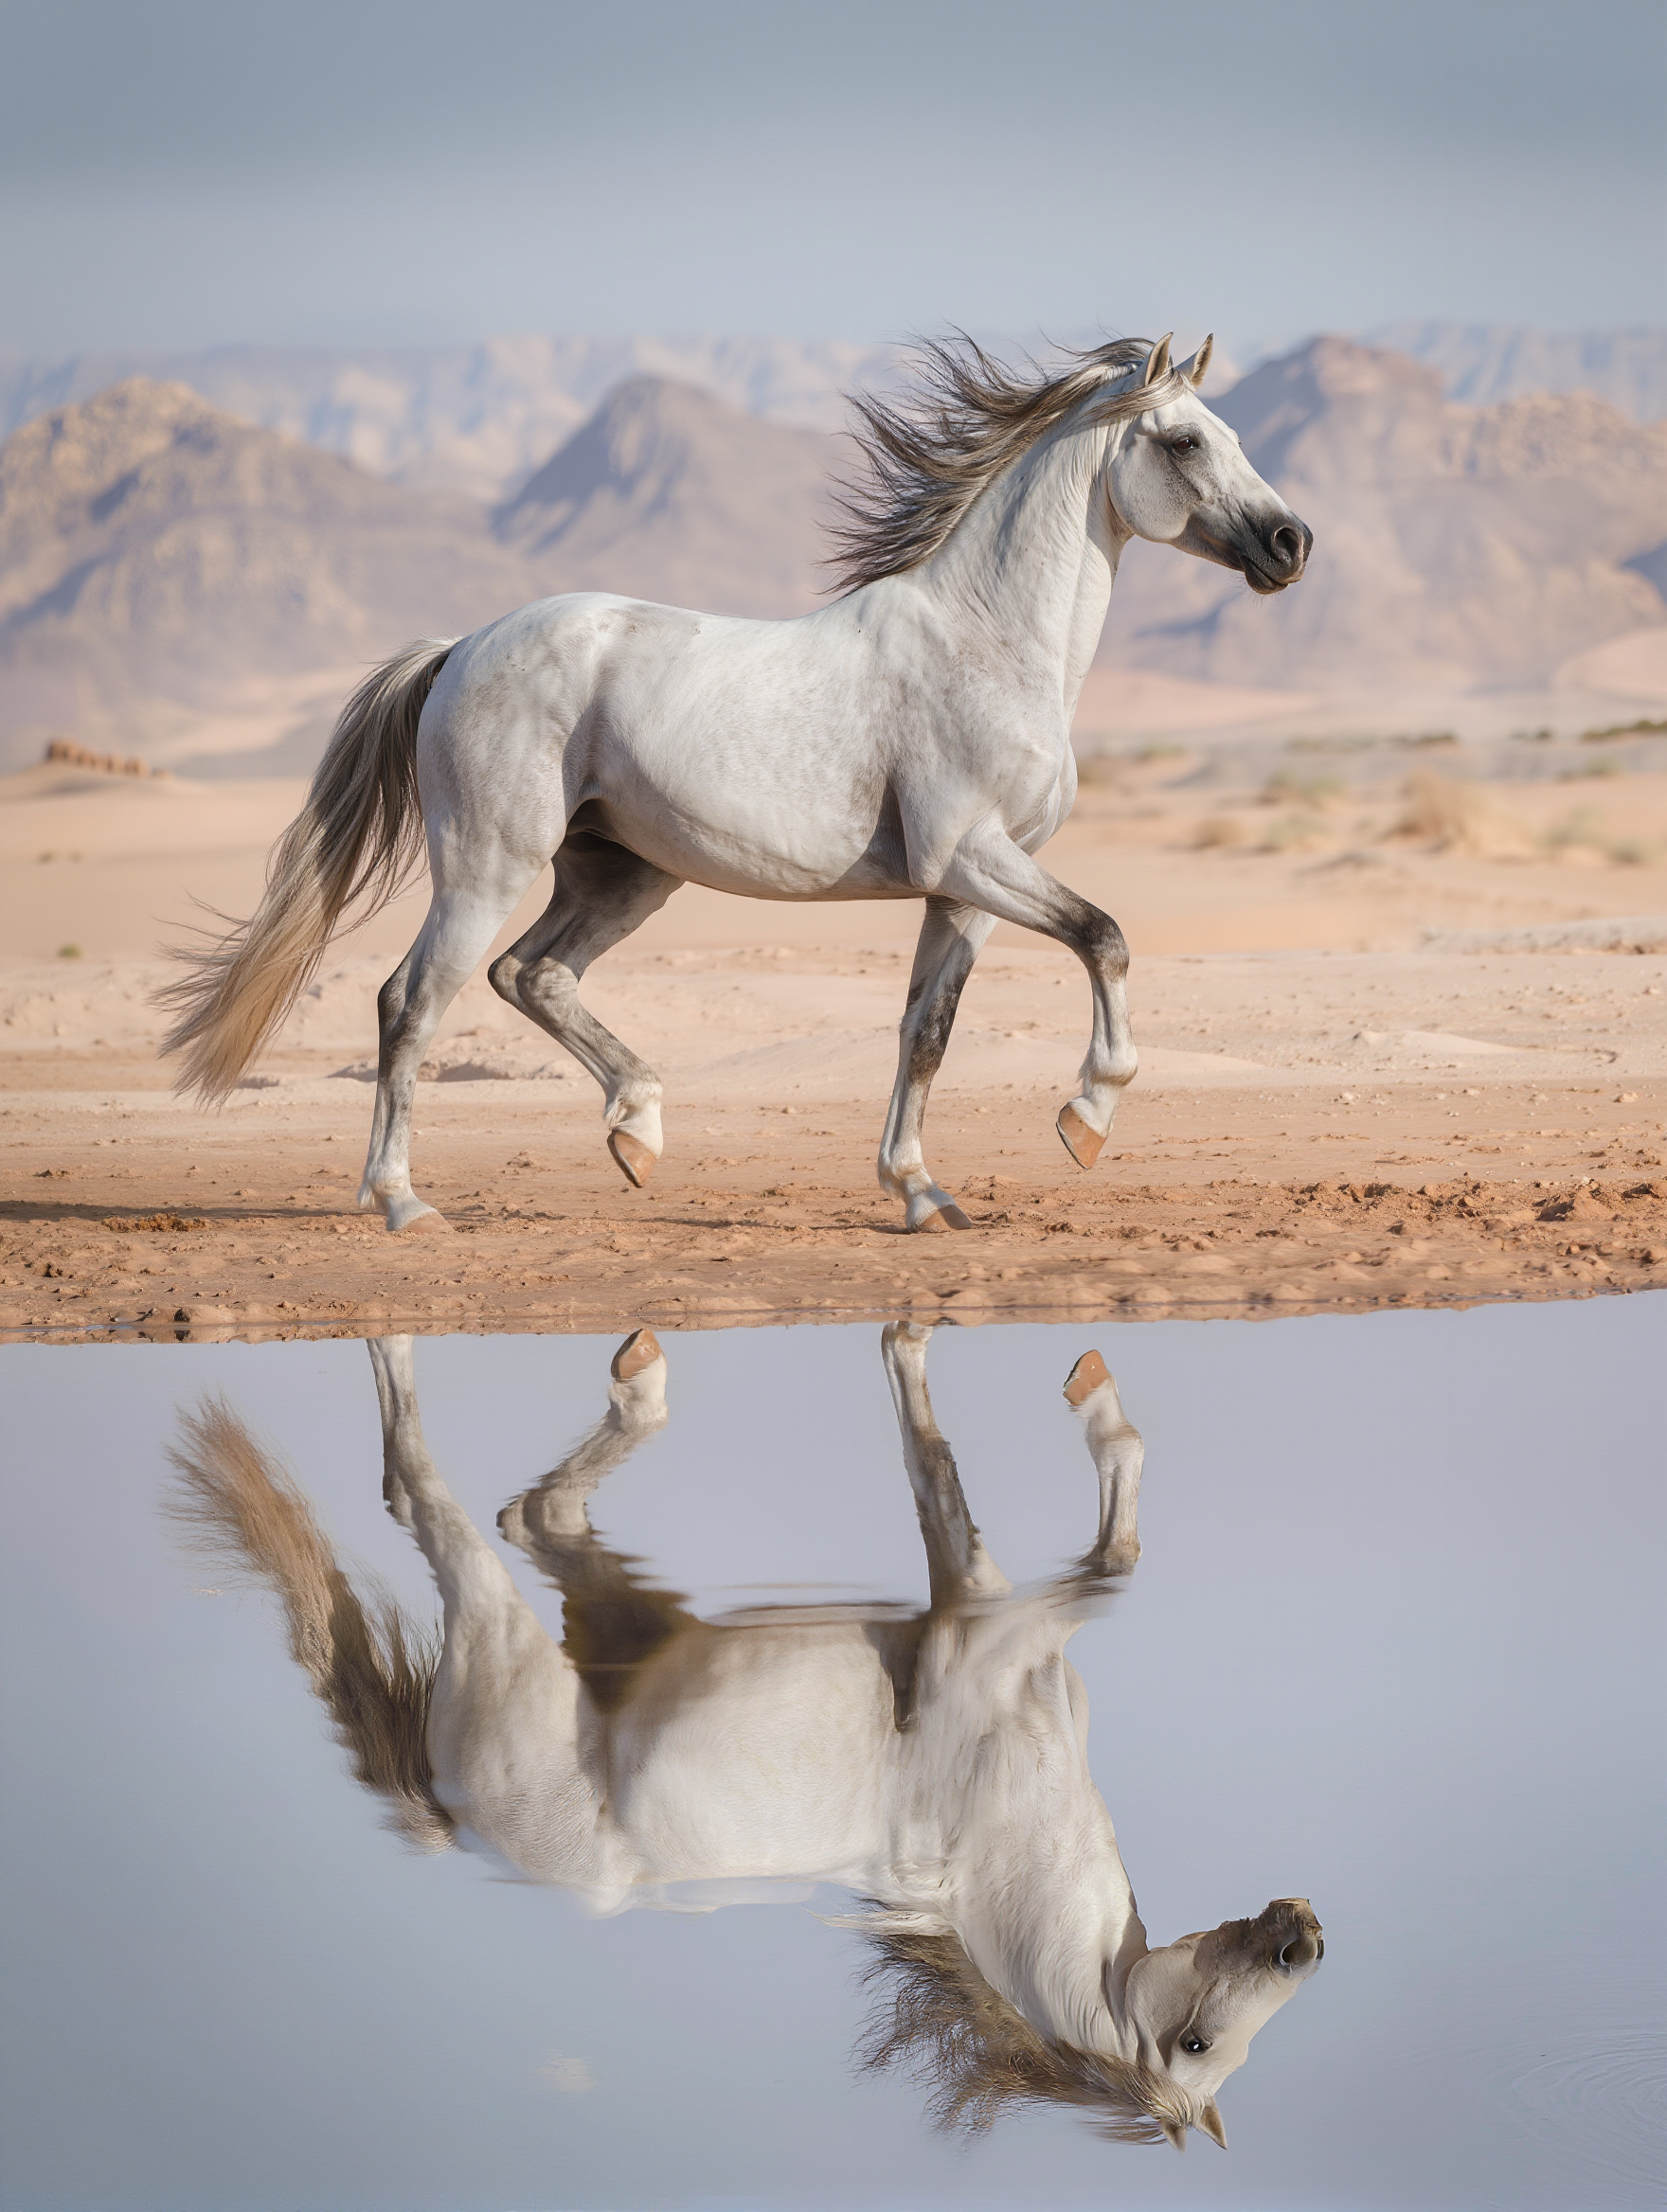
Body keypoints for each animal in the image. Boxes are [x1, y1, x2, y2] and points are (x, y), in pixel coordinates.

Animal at [158, 330, 1312, 1234]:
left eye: (1233, 433)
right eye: (1184, 440)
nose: (1290, 542)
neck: (987, 641)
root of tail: (459, 649)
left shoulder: (966, 889)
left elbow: (926, 1031)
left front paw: (920, 1192)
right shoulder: (971, 856)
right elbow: (1105, 937)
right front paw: (1087, 1117)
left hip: (623, 873)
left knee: (531, 976)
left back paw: (638, 1133)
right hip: (488, 865)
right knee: (415, 999)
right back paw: (402, 1201)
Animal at [167, 1323, 1323, 2151]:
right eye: (1195, 2039)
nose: (1300, 1936)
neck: (995, 1857)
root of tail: (456, 1824)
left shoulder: (980, 1613)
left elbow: (1050, 1519)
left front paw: (1068, 1382)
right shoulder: (979, 1622)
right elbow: (1047, 1519)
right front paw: (1060, 1379)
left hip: (600, 1626)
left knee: (506, 1509)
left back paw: (627, 1371)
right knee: (446, 1494)